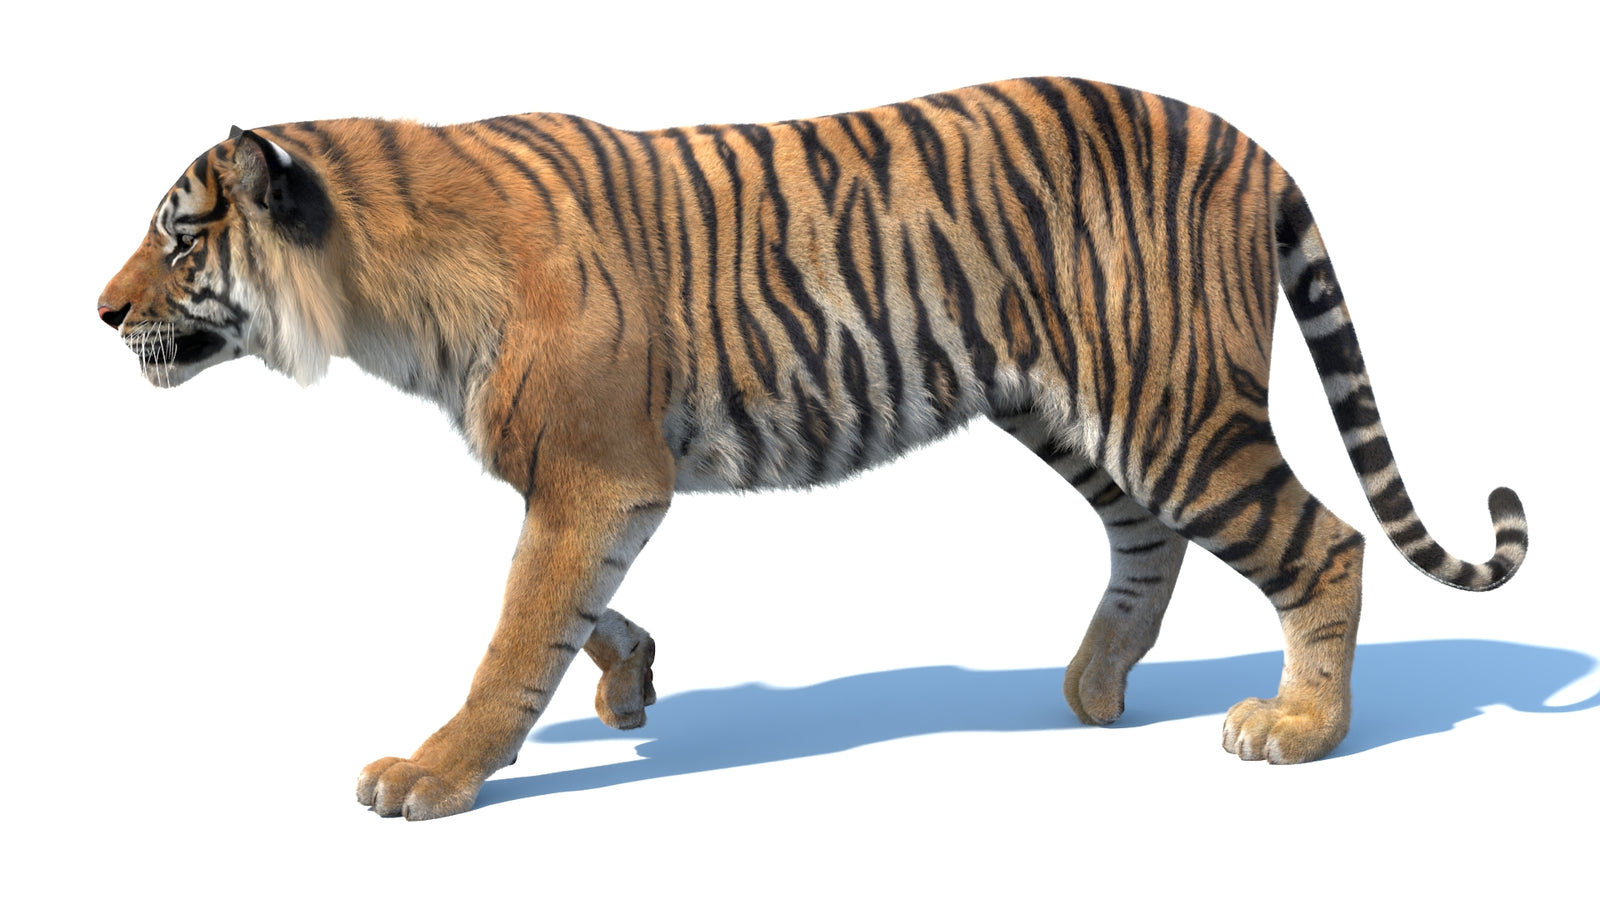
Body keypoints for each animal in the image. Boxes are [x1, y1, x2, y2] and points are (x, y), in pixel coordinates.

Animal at [98, 76, 1528, 820]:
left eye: (177, 236)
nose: (100, 313)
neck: (378, 292)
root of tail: (1248, 139)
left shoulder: (594, 476)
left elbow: (514, 635)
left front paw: (430, 775)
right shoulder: (602, 488)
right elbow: (576, 613)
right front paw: (631, 682)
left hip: (1172, 403)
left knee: (1323, 543)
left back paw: (1300, 729)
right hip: (1071, 410)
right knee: (1148, 540)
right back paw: (1091, 688)